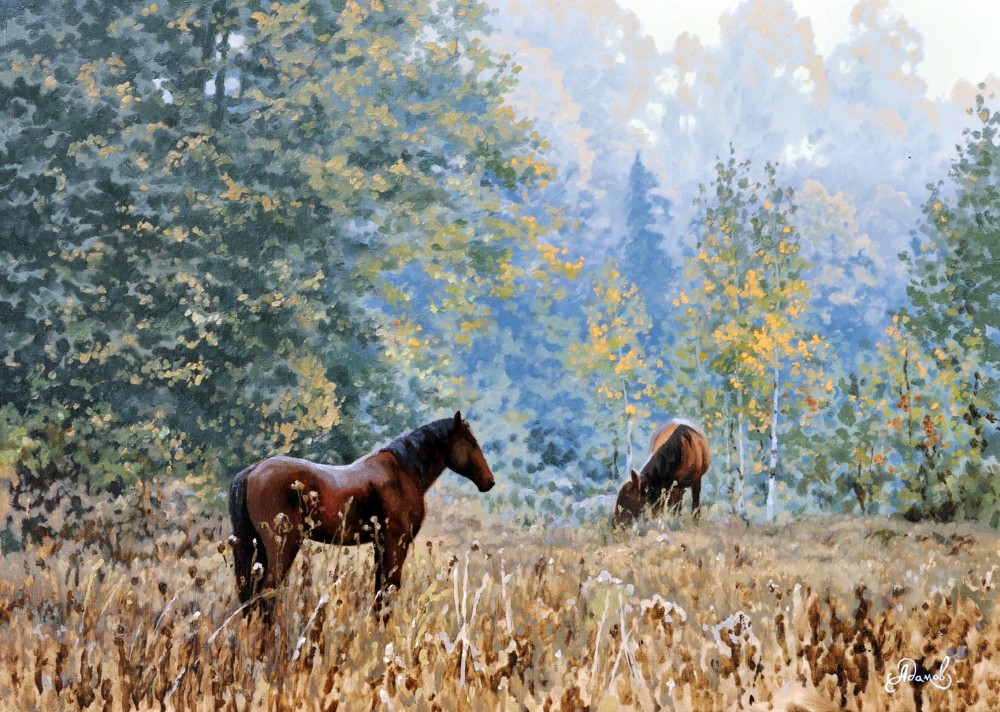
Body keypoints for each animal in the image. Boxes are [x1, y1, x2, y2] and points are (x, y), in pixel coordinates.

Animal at [227, 412, 492, 616]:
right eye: (471, 442)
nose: (489, 482)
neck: (403, 472)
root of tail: (252, 471)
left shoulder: (381, 545)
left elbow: (380, 593)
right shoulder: (396, 543)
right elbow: (388, 591)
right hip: (282, 546)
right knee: (266, 595)